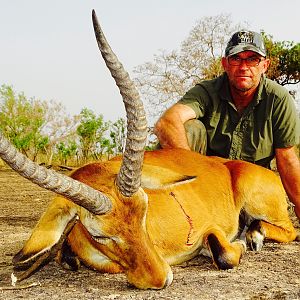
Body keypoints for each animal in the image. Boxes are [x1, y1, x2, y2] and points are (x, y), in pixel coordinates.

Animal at [0, 10, 298, 290]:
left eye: (144, 209)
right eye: (99, 234)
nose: (161, 278)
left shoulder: (210, 229)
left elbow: (224, 253)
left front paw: (240, 244)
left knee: (289, 231)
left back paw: (253, 236)